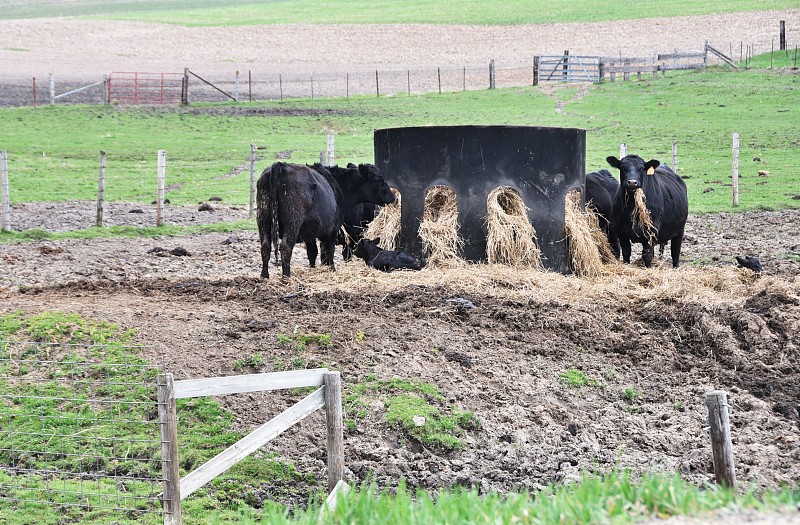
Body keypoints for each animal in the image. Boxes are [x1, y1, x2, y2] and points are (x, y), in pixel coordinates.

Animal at [256, 163, 394, 278]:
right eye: (379, 180)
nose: (393, 197)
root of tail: (280, 165)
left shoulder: (309, 233)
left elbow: (313, 253)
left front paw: (313, 269)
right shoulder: (331, 231)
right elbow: (329, 252)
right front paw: (332, 269)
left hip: (263, 219)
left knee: (265, 247)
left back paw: (264, 275)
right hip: (292, 222)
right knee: (285, 247)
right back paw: (286, 276)